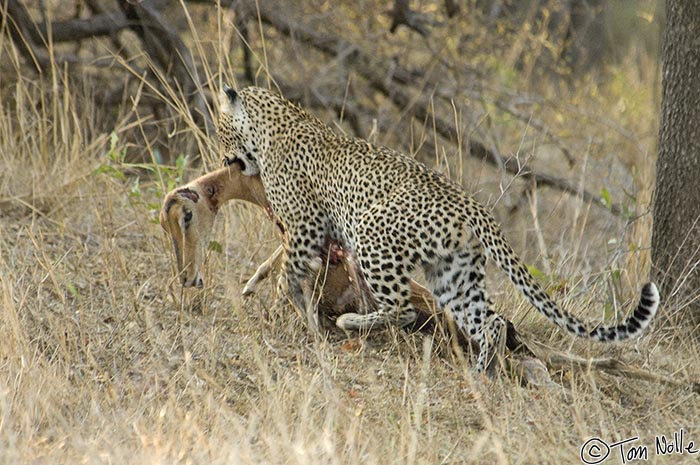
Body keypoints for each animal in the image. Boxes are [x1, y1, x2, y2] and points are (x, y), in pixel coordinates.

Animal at [219, 85, 660, 372]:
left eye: (221, 130)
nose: (224, 160)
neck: (274, 123)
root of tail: (473, 204)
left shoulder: (305, 225)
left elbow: (288, 270)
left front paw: (287, 306)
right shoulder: (313, 232)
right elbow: (277, 260)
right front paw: (266, 291)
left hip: (373, 233)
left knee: (404, 309)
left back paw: (352, 323)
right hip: (454, 272)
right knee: (491, 321)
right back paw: (482, 372)